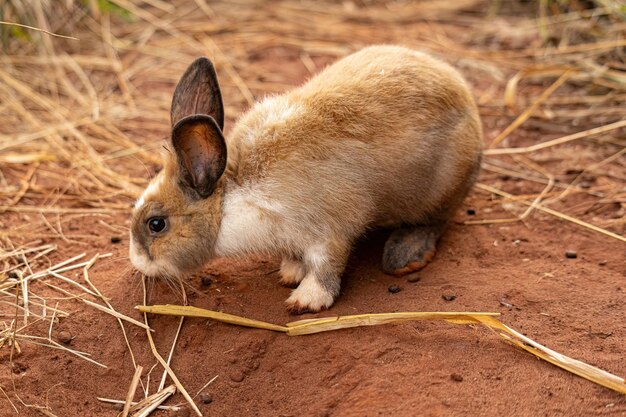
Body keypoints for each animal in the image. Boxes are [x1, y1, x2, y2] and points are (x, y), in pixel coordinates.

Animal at [129, 44, 482, 312]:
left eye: (156, 224)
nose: (137, 262)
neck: (230, 199)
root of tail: (467, 99)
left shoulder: (330, 230)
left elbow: (327, 266)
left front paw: (306, 300)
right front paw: (291, 271)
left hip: (441, 190)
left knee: (436, 221)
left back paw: (406, 255)